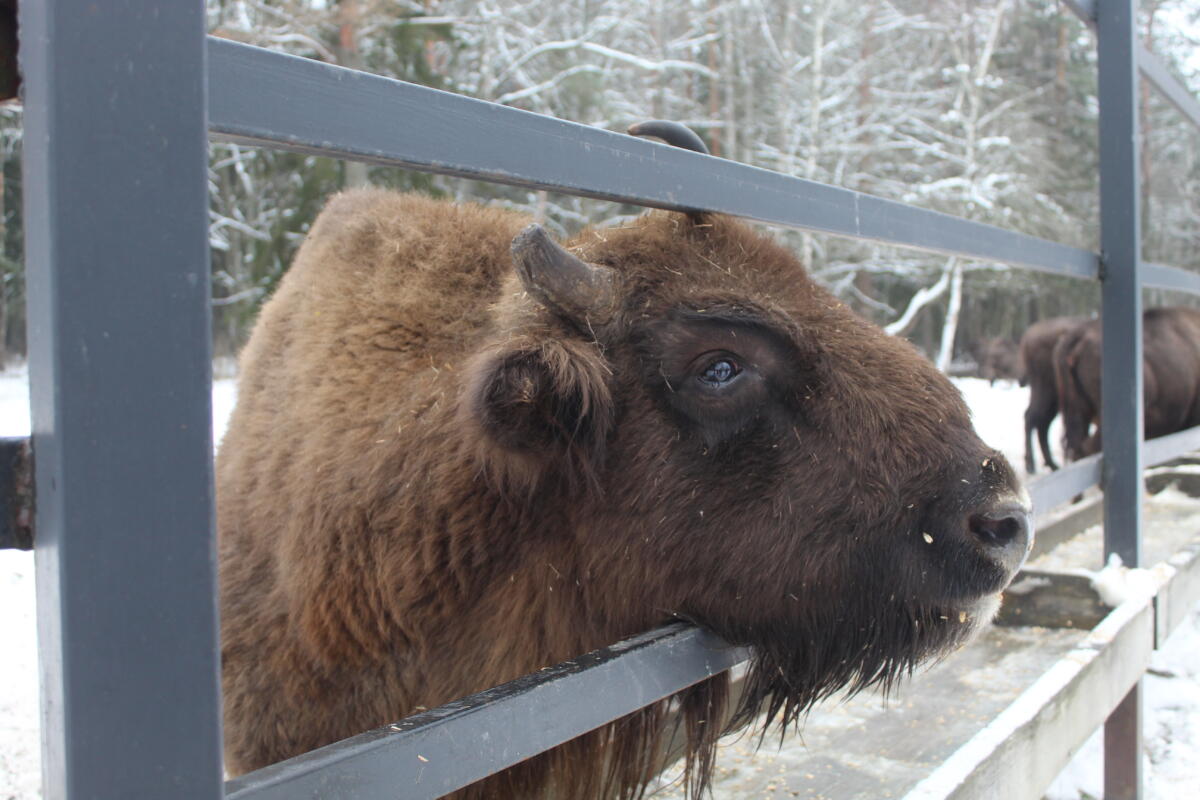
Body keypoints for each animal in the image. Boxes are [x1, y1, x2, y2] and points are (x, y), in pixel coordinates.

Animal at [1017, 316, 1084, 472]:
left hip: (1052, 400)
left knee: (1041, 422)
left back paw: (1052, 464)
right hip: (1046, 392)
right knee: (1034, 418)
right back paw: (1032, 465)